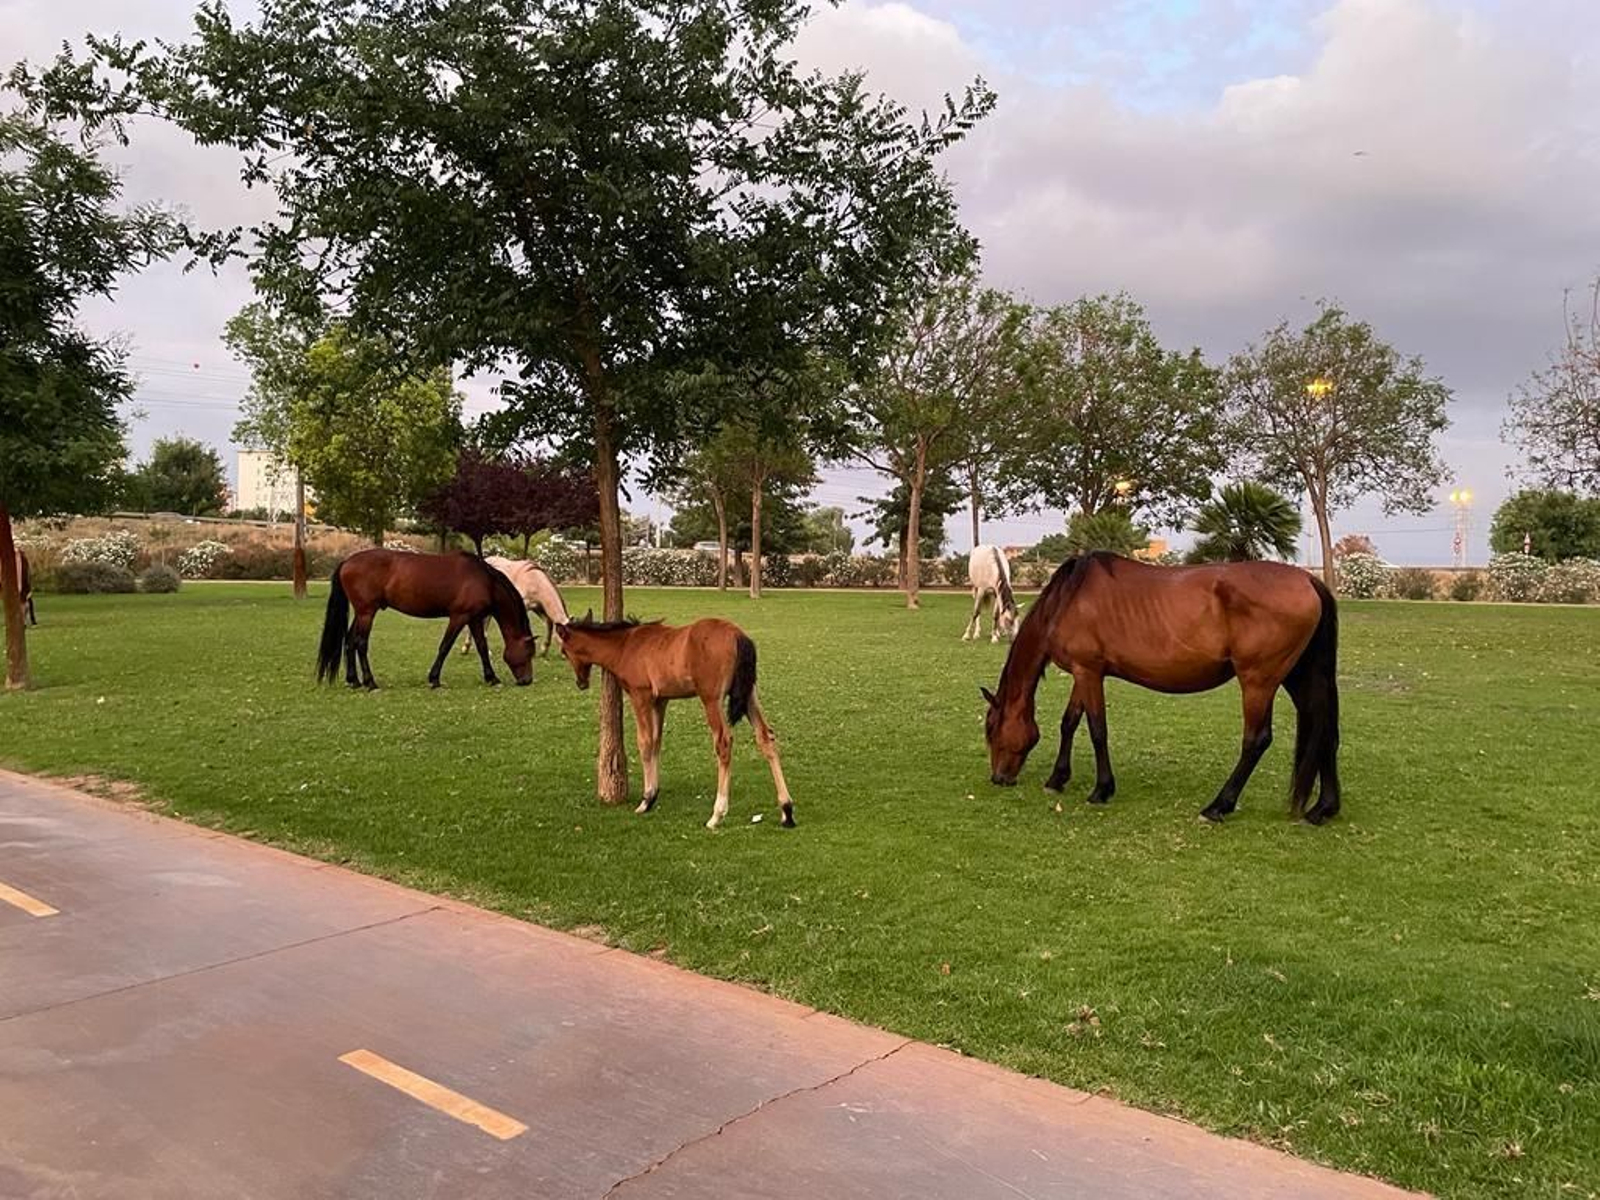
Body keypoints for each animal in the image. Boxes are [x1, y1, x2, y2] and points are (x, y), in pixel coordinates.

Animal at [316, 549, 535, 689]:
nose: (527, 680)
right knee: (361, 643)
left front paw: (491, 678)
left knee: (350, 641)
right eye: (528, 653)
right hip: (367, 613)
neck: (484, 581)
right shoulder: (459, 617)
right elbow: (445, 646)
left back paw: (353, 680)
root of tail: (346, 562)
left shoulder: (474, 619)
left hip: (362, 613)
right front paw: (434, 679)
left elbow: (481, 647)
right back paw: (370, 682)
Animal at [553, 615, 795, 830]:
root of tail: (738, 635)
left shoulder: (641, 696)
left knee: (724, 742)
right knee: (765, 736)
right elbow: (656, 742)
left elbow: (644, 743)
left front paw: (645, 800)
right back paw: (786, 811)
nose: (581, 683)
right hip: (750, 695)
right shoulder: (661, 700)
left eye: (564, 651)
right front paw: (652, 796)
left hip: (711, 699)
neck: (625, 646)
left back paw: (716, 815)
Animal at [983, 552, 1340, 824]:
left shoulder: (1088, 672)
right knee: (1323, 730)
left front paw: (1101, 789)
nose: (998, 778)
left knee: (1257, 740)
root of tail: (1309, 580)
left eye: (991, 728)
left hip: (1258, 681)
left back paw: (1218, 807)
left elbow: (1097, 730)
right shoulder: (1086, 674)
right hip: (1298, 677)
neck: (1069, 599)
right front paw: (1057, 779)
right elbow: (1069, 722)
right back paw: (1323, 809)